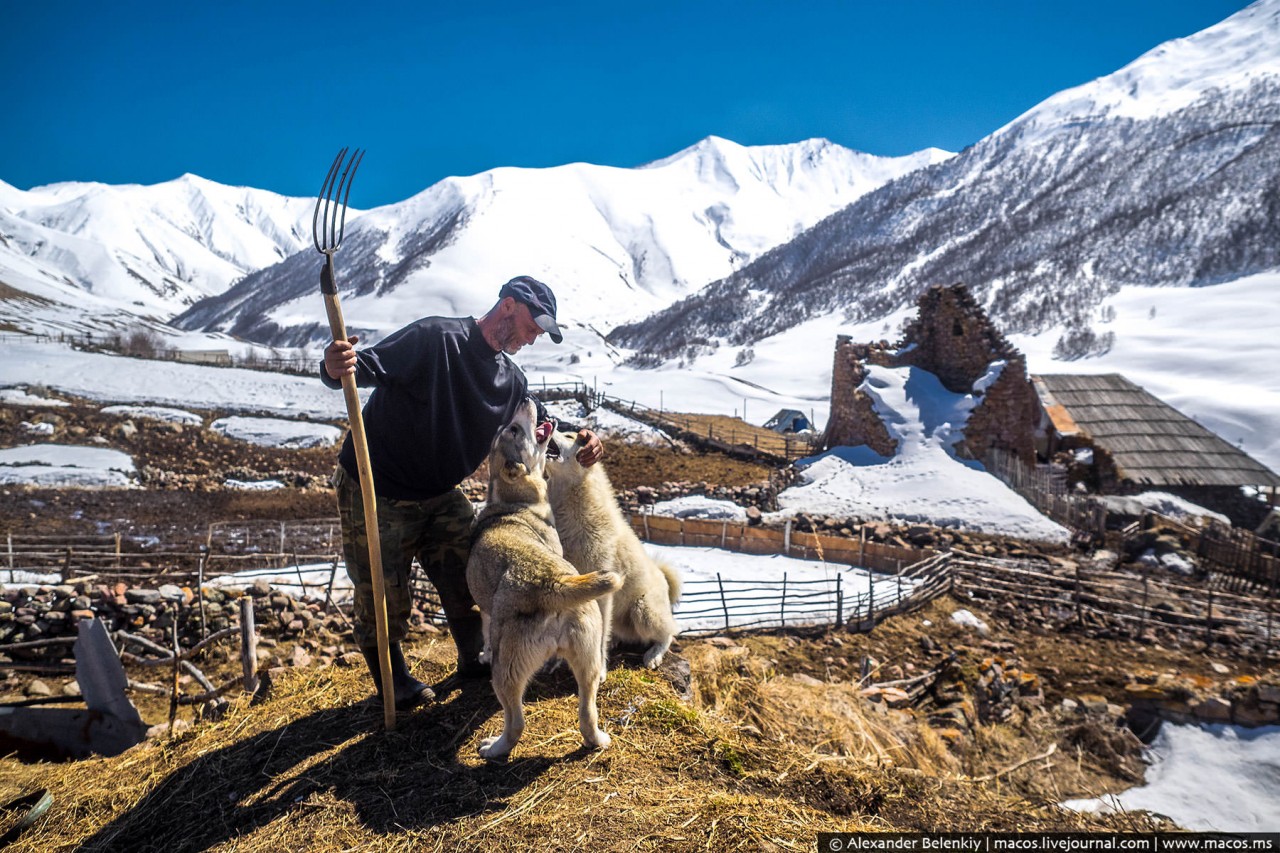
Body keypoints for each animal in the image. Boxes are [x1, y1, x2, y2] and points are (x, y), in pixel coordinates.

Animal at [468, 399, 622, 758]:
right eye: (512, 429)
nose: (526, 399)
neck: (514, 503)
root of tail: (553, 584)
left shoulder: (487, 609)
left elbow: (485, 626)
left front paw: (483, 652)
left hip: (506, 673)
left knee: (516, 723)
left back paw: (493, 749)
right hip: (588, 662)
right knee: (587, 715)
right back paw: (598, 740)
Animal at [542, 427, 680, 666]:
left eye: (570, 436)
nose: (548, 422)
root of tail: (663, 577)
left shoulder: (602, 590)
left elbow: (598, 639)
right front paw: (557, 661)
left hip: (644, 611)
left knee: (668, 633)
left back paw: (654, 655)